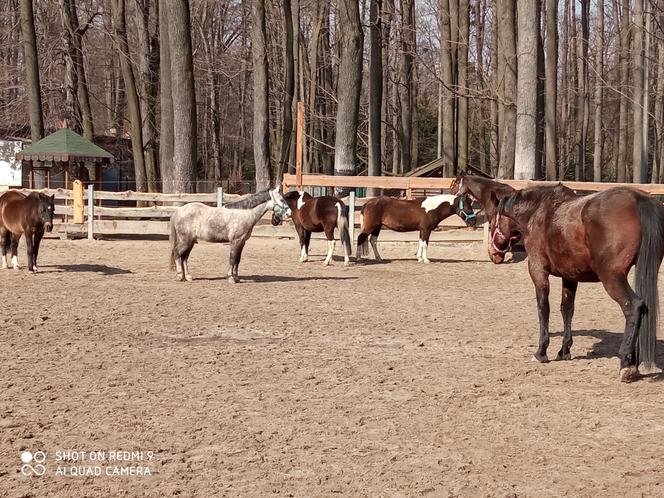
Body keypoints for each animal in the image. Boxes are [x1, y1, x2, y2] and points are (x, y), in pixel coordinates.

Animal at [490, 185, 660, 384]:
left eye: (492, 222)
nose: (493, 254)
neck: (537, 211)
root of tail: (638, 198)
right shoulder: (570, 276)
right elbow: (567, 309)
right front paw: (564, 350)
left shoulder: (538, 270)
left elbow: (543, 308)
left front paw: (541, 352)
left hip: (612, 277)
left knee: (633, 307)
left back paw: (627, 363)